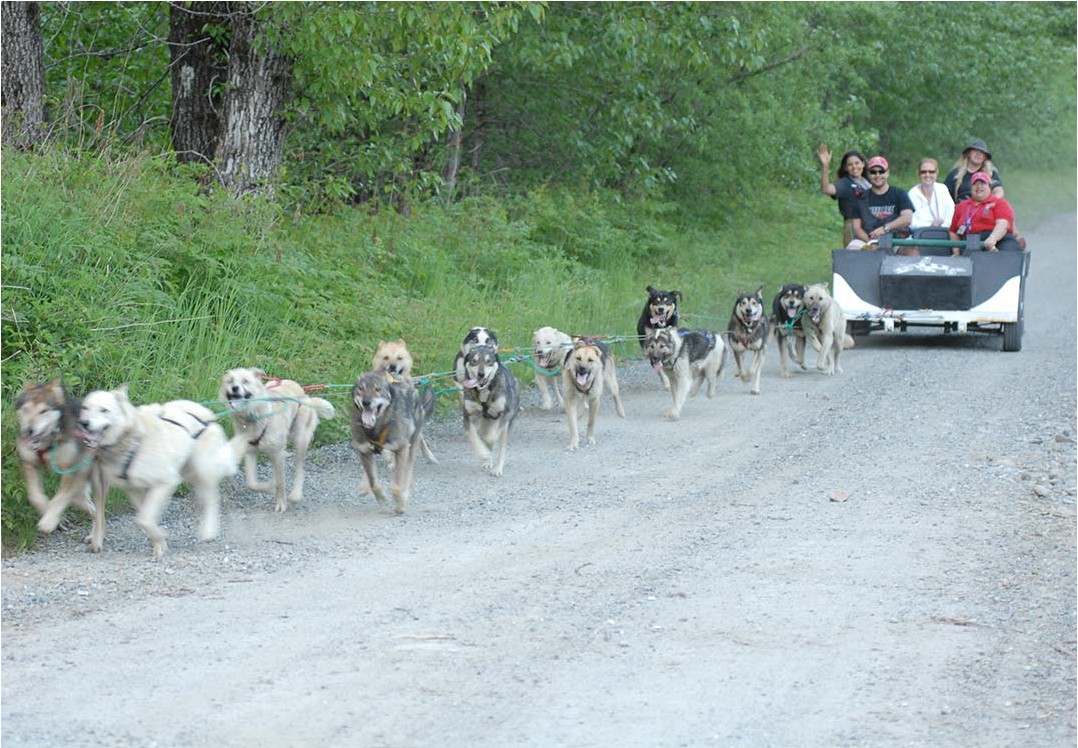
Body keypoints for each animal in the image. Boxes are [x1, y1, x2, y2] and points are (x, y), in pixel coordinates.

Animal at [14, 383, 103, 541]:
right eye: (26, 409)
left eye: (43, 411)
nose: (29, 430)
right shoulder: (29, 464)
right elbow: (35, 497)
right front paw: (54, 518)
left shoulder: (71, 470)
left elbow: (59, 499)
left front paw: (49, 522)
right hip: (80, 491)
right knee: (91, 509)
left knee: (97, 511)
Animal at [76, 385, 246, 556]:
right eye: (85, 408)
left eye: (104, 410)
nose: (83, 423)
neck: (133, 441)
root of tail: (208, 415)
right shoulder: (134, 490)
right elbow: (144, 518)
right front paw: (159, 543)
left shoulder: (167, 481)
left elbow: (145, 519)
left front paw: (161, 538)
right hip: (190, 472)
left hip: (202, 469)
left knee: (212, 498)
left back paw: (208, 531)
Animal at [216, 368, 334, 515]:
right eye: (230, 381)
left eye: (245, 381)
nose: (234, 388)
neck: (254, 418)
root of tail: (304, 393)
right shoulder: (250, 452)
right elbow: (252, 483)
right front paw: (270, 488)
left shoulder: (276, 453)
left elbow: (280, 482)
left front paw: (281, 502)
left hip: (300, 439)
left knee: (299, 468)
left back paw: (296, 493)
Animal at [349, 370, 433, 515]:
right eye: (361, 388)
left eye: (378, 389)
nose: (366, 402)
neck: (376, 427)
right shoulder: (363, 451)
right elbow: (374, 483)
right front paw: (381, 499)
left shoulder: (402, 449)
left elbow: (397, 485)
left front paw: (400, 504)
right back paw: (364, 486)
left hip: (411, 444)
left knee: (408, 470)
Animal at [459, 344, 517, 478]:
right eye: (474, 361)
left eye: (488, 361)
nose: (481, 374)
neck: (484, 392)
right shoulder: (468, 416)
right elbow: (473, 437)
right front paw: (483, 454)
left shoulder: (505, 413)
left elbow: (490, 437)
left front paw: (488, 444)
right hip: (483, 424)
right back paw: (488, 460)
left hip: (506, 426)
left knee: (500, 447)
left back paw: (497, 469)